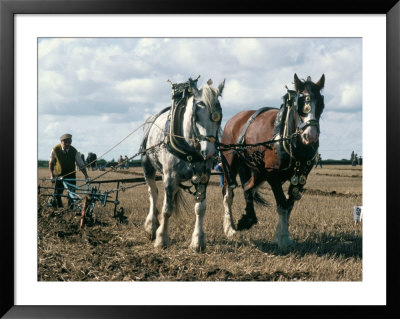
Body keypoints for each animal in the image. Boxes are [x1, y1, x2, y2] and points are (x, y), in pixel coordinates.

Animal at [141, 78, 223, 252]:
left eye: (220, 116)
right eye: (196, 116)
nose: (209, 152)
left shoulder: (203, 175)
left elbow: (200, 208)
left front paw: (198, 241)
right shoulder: (170, 177)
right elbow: (167, 209)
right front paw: (161, 239)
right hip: (148, 166)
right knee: (153, 193)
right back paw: (151, 226)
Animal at [219, 73, 324, 250]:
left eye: (321, 103)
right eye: (299, 103)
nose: (310, 135)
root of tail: (235, 119)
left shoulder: (300, 178)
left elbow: (289, 205)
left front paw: (282, 234)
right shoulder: (272, 176)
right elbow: (282, 204)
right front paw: (283, 238)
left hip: (257, 172)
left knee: (248, 188)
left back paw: (248, 219)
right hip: (230, 164)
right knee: (228, 194)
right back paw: (229, 228)